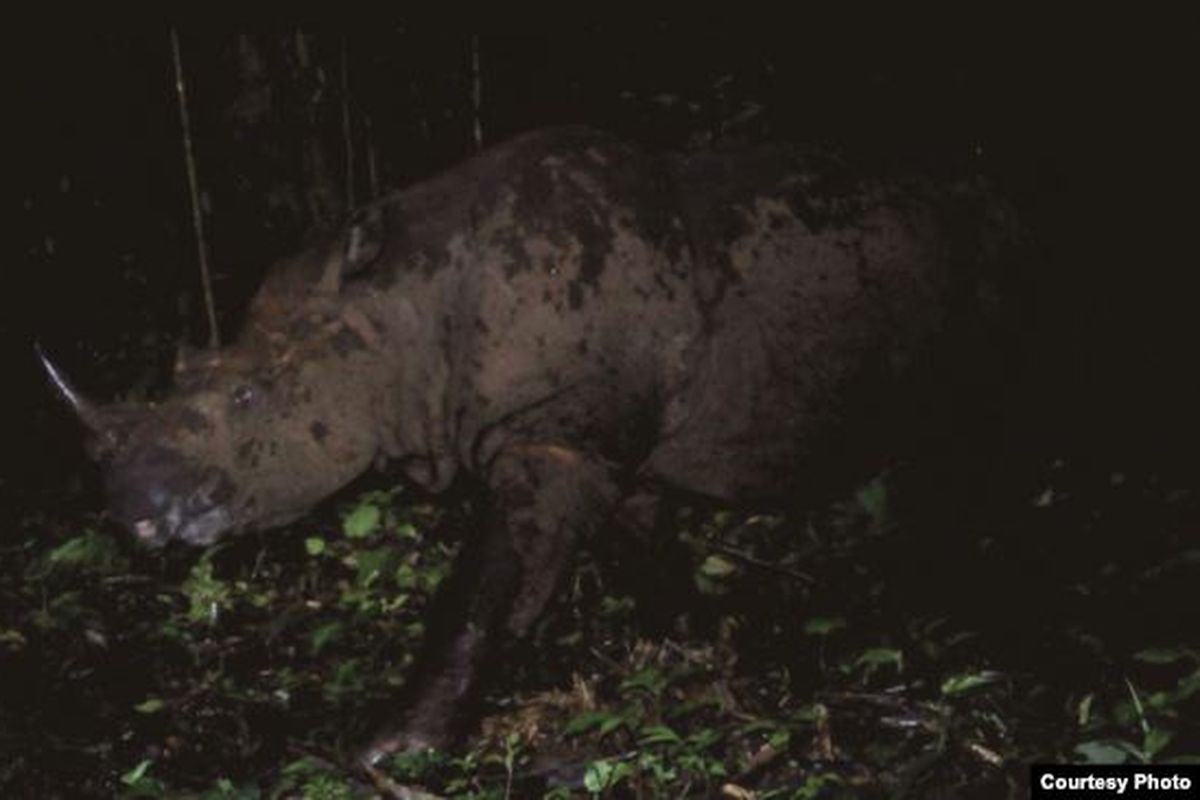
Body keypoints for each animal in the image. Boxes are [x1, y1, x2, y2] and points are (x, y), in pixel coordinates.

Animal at [44, 123, 1022, 762]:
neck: (395, 312)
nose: (133, 515)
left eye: (247, 396)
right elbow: (640, 547)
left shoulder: (550, 435)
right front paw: (691, 641)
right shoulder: (600, 441)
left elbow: (481, 595)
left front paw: (386, 752)